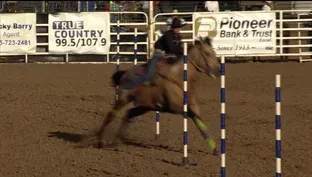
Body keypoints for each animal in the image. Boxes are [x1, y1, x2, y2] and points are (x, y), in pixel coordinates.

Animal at [81, 36, 221, 156]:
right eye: (207, 53)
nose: (218, 71)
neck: (179, 77)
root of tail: (125, 73)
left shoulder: (192, 106)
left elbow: (200, 122)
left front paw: (215, 149)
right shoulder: (176, 107)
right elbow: (194, 116)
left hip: (145, 106)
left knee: (128, 114)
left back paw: (116, 140)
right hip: (123, 98)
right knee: (111, 114)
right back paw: (100, 141)